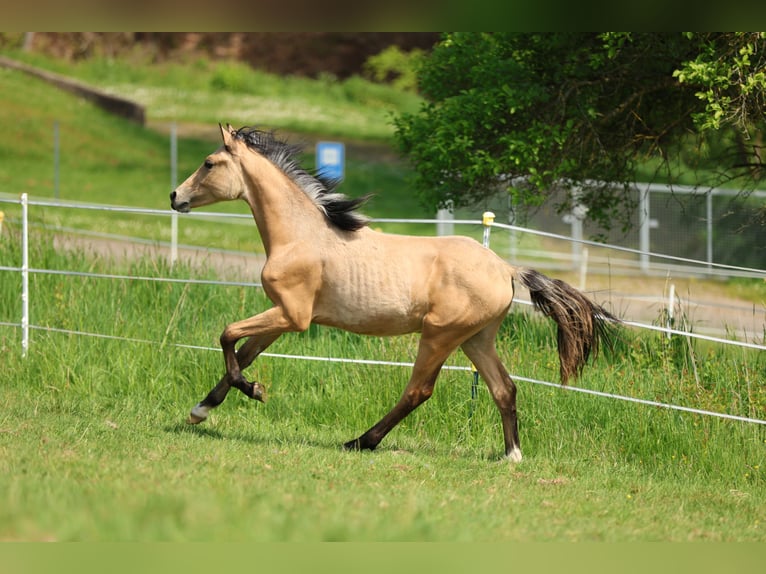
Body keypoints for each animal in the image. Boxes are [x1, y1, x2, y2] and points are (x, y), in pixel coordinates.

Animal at [170, 124, 616, 462]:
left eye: (209, 163)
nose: (175, 196)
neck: (301, 236)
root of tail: (506, 268)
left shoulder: (292, 316)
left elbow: (227, 335)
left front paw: (254, 392)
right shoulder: (284, 316)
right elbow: (243, 352)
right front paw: (200, 410)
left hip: (439, 335)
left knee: (418, 391)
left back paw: (360, 441)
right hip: (476, 339)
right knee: (504, 389)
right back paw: (512, 456)